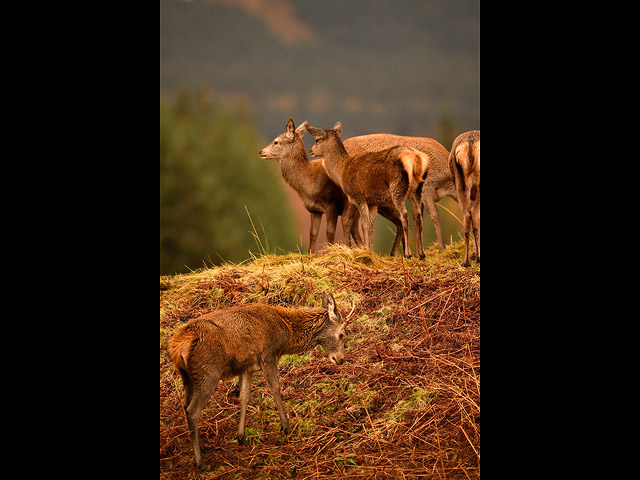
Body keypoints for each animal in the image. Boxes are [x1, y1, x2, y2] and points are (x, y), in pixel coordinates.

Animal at [168, 290, 350, 470]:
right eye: (341, 334)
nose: (340, 359)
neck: (286, 333)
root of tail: (179, 346)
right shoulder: (268, 356)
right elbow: (275, 388)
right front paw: (287, 427)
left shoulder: (246, 367)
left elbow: (244, 396)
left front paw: (241, 437)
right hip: (208, 372)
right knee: (192, 410)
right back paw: (200, 462)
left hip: (187, 377)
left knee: (185, 405)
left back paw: (201, 446)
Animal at [258, 119, 362, 253]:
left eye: (276, 142)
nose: (261, 152)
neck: (309, 185)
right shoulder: (314, 210)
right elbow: (312, 234)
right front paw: (310, 254)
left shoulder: (332, 204)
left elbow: (329, 233)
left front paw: (329, 252)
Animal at [306, 122, 430, 260]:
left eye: (317, 140)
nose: (310, 151)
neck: (342, 172)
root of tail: (417, 158)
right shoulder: (373, 203)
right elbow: (370, 226)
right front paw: (371, 250)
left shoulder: (359, 197)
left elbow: (364, 225)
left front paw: (366, 251)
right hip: (417, 190)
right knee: (418, 215)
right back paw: (421, 253)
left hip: (397, 188)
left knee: (404, 214)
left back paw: (408, 254)